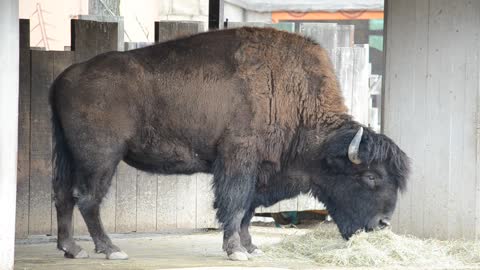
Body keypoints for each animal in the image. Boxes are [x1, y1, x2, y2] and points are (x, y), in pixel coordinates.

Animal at [49, 26, 408, 262]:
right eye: (370, 176)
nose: (383, 224)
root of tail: (66, 77)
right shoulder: (239, 159)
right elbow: (235, 204)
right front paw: (236, 251)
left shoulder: (260, 170)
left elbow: (248, 208)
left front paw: (251, 247)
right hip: (101, 157)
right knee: (88, 198)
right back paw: (111, 250)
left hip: (68, 155)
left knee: (63, 195)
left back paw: (72, 249)